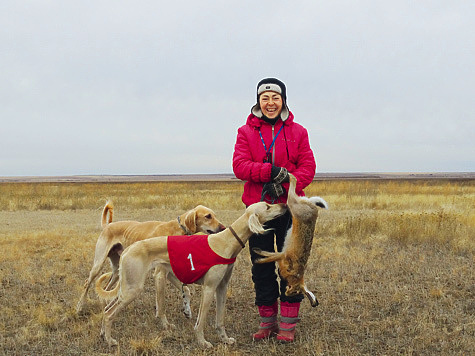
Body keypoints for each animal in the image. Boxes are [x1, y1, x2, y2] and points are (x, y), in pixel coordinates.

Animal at [77, 200, 226, 318]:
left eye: (214, 215)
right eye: (208, 216)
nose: (223, 228)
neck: (177, 229)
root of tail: (108, 225)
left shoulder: (169, 272)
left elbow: (187, 291)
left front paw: (187, 311)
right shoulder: (159, 274)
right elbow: (161, 302)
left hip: (117, 271)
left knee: (106, 288)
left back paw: (105, 307)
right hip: (98, 264)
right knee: (87, 283)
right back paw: (80, 307)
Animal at [93, 202, 286, 350]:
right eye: (268, 206)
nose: (284, 205)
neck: (226, 240)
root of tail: (127, 251)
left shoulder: (221, 288)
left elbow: (220, 320)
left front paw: (224, 339)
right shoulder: (209, 288)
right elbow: (200, 321)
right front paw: (203, 342)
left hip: (127, 287)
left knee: (107, 308)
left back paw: (103, 334)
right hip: (132, 288)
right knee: (109, 313)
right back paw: (110, 340)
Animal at [256, 174, 328, 308]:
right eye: (295, 291)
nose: (287, 292)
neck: (296, 277)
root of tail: (312, 207)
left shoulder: (281, 255)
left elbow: (269, 255)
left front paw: (258, 253)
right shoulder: (283, 256)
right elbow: (270, 258)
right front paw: (259, 259)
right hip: (293, 205)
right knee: (293, 187)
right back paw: (286, 175)